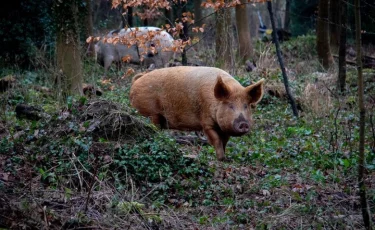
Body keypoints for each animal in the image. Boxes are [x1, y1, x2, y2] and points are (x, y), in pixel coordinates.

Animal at [131, 65, 266, 161]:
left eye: (246, 106)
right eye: (230, 105)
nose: (243, 123)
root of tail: (136, 81)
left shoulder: (224, 128)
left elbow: (225, 142)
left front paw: (226, 158)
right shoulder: (206, 123)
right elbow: (216, 140)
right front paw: (221, 159)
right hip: (152, 114)